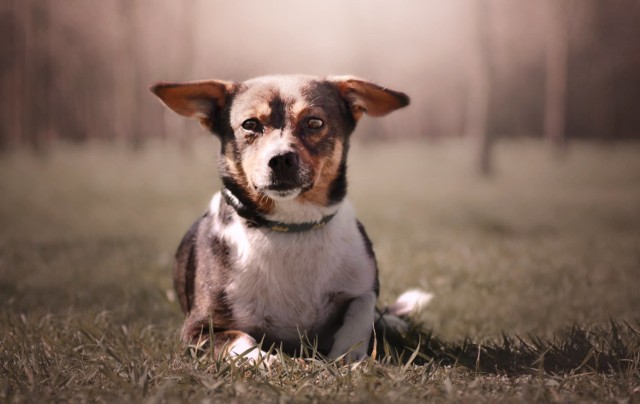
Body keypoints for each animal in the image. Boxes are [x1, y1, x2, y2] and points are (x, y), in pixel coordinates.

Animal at [150, 76, 430, 362]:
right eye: (250, 124)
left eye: (314, 122)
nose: (281, 159)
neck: (292, 226)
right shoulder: (196, 330)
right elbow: (241, 340)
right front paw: (271, 361)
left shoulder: (363, 285)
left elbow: (361, 311)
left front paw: (347, 357)